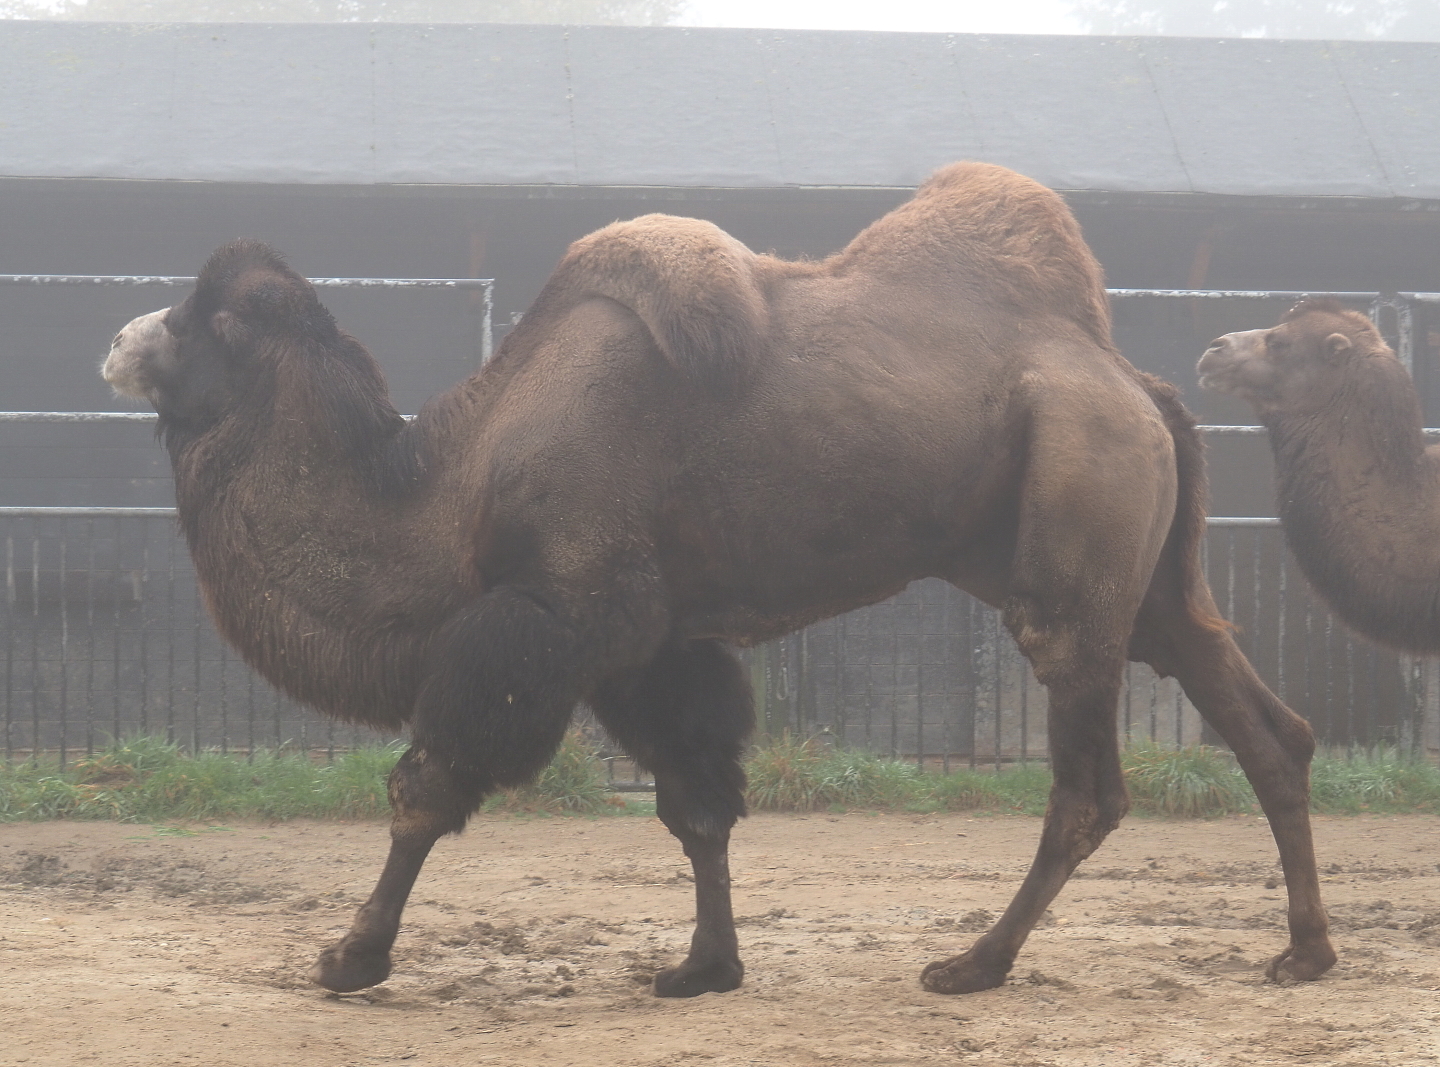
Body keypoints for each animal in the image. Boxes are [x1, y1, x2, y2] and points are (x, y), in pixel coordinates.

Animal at [102, 162, 1335, 998]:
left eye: (209, 317)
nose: (117, 339)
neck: (451, 484)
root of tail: (1134, 381)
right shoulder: (652, 644)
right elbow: (696, 801)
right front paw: (705, 964)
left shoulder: (560, 611)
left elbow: (428, 784)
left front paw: (350, 954)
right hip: (1143, 566)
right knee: (1263, 721)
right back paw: (1305, 950)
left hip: (1076, 528)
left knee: (1088, 776)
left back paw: (972, 963)